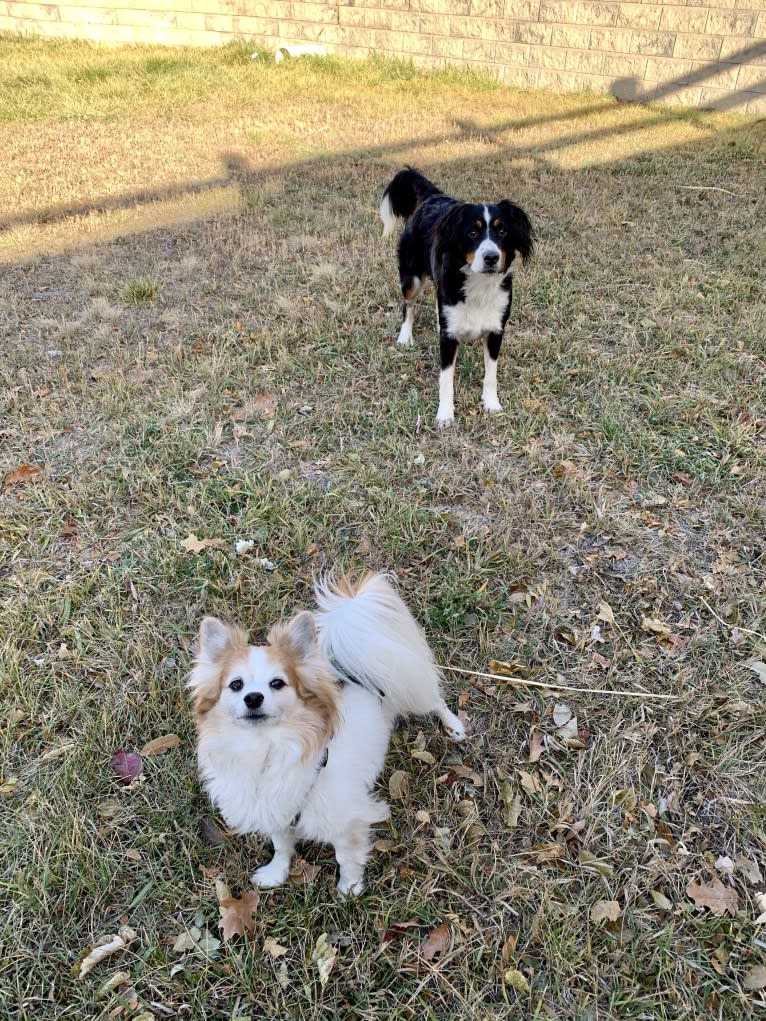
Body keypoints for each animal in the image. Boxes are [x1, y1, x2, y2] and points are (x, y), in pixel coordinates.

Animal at [190, 575, 467, 894]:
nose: (253, 698)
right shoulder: (278, 811)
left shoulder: (347, 821)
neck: (265, 747)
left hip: (412, 687)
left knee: (436, 701)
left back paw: (454, 725)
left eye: (277, 683)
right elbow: (281, 846)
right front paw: (276, 873)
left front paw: (350, 888)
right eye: (236, 685)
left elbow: (346, 857)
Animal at [379, 169, 535, 424]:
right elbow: (446, 379)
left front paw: (491, 403)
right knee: (408, 305)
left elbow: (491, 373)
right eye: (472, 232)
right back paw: (405, 336)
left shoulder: (495, 330)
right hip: (411, 277)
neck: (479, 284)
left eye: (502, 231)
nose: (491, 257)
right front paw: (445, 414)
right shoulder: (449, 338)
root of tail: (433, 196)